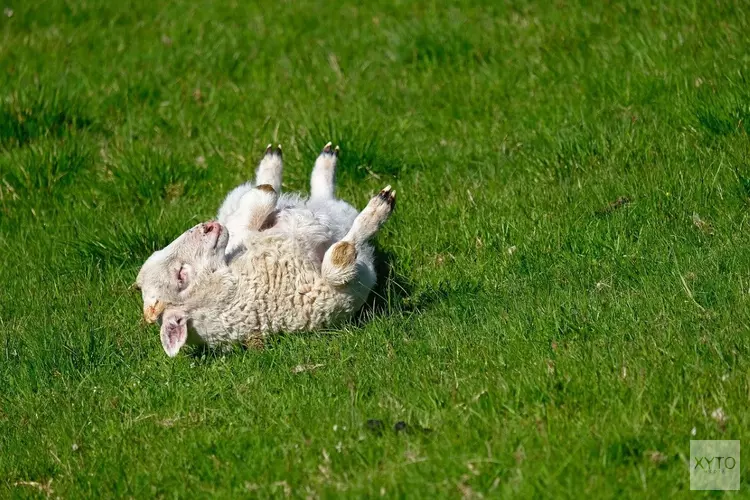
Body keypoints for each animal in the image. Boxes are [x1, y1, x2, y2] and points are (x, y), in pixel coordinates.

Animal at [135, 143, 396, 358]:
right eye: (181, 275)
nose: (208, 226)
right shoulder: (333, 290)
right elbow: (339, 258)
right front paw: (376, 214)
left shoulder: (239, 236)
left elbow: (252, 211)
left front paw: (266, 187)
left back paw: (284, 162)